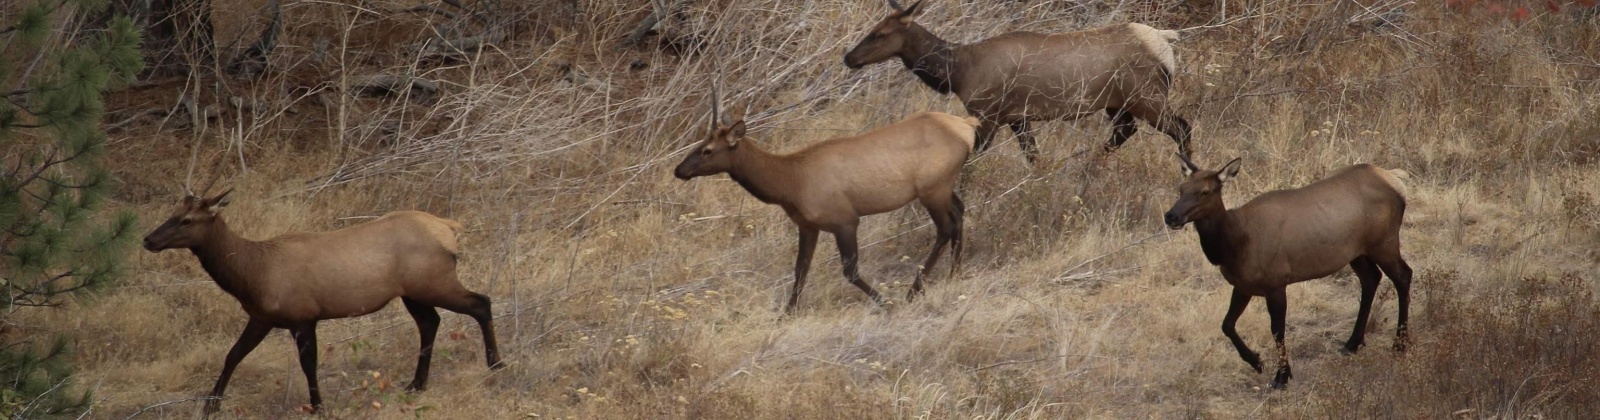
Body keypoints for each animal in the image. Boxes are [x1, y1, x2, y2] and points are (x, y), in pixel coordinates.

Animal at [142, 190, 499, 416]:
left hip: (433, 282)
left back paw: (495, 364)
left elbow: (308, 364)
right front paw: (211, 404)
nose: (147, 239)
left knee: (481, 302)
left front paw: (318, 405)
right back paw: (416, 384)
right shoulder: (262, 317)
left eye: (187, 220)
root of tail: (451, 229)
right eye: (173, 213)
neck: (252, 275)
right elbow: (233, 355)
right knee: (430, 323)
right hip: (413, 292)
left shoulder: (303, 316)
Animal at [672, 86, 972, 312]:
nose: (679, 170)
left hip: (932, 189)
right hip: (945, 188)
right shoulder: (808, 225)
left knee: (945, 227)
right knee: (959, 212)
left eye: (708, 149)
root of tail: (968, 128)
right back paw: (954, 274)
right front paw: (787, 314)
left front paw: (886, 302)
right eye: (700, 143)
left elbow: (850, 271)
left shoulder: (845, 220)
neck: (790, 183)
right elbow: (800, 269)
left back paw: (914, 290)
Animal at [844, 0, 1196, 163]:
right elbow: (1033, 158)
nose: (848, 57)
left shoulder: (987, 114)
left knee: (1182, 127)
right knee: (1125, 131)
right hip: (1117, 103)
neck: (957, 72)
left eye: (880, 33)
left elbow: (969, 161)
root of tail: (1166, 40)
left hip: (1146, 96)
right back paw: (1087, 167)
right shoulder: (1018, 118)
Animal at [1164, 157, 1414, 391]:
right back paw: (1353, 343)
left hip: (1385, 242)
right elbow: (1227, 324)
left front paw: (1282, 376)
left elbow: (1277, 330)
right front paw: (1256, 361)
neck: (1234, 245)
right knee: (1371, 278)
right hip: (1357, 252)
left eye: (1205, 191)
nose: (1171, 216)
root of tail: (1396, 181)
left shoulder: (1276, 283)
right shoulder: (1243, 285)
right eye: (1181, 188)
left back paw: (1399, 345)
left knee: (1404, 275)